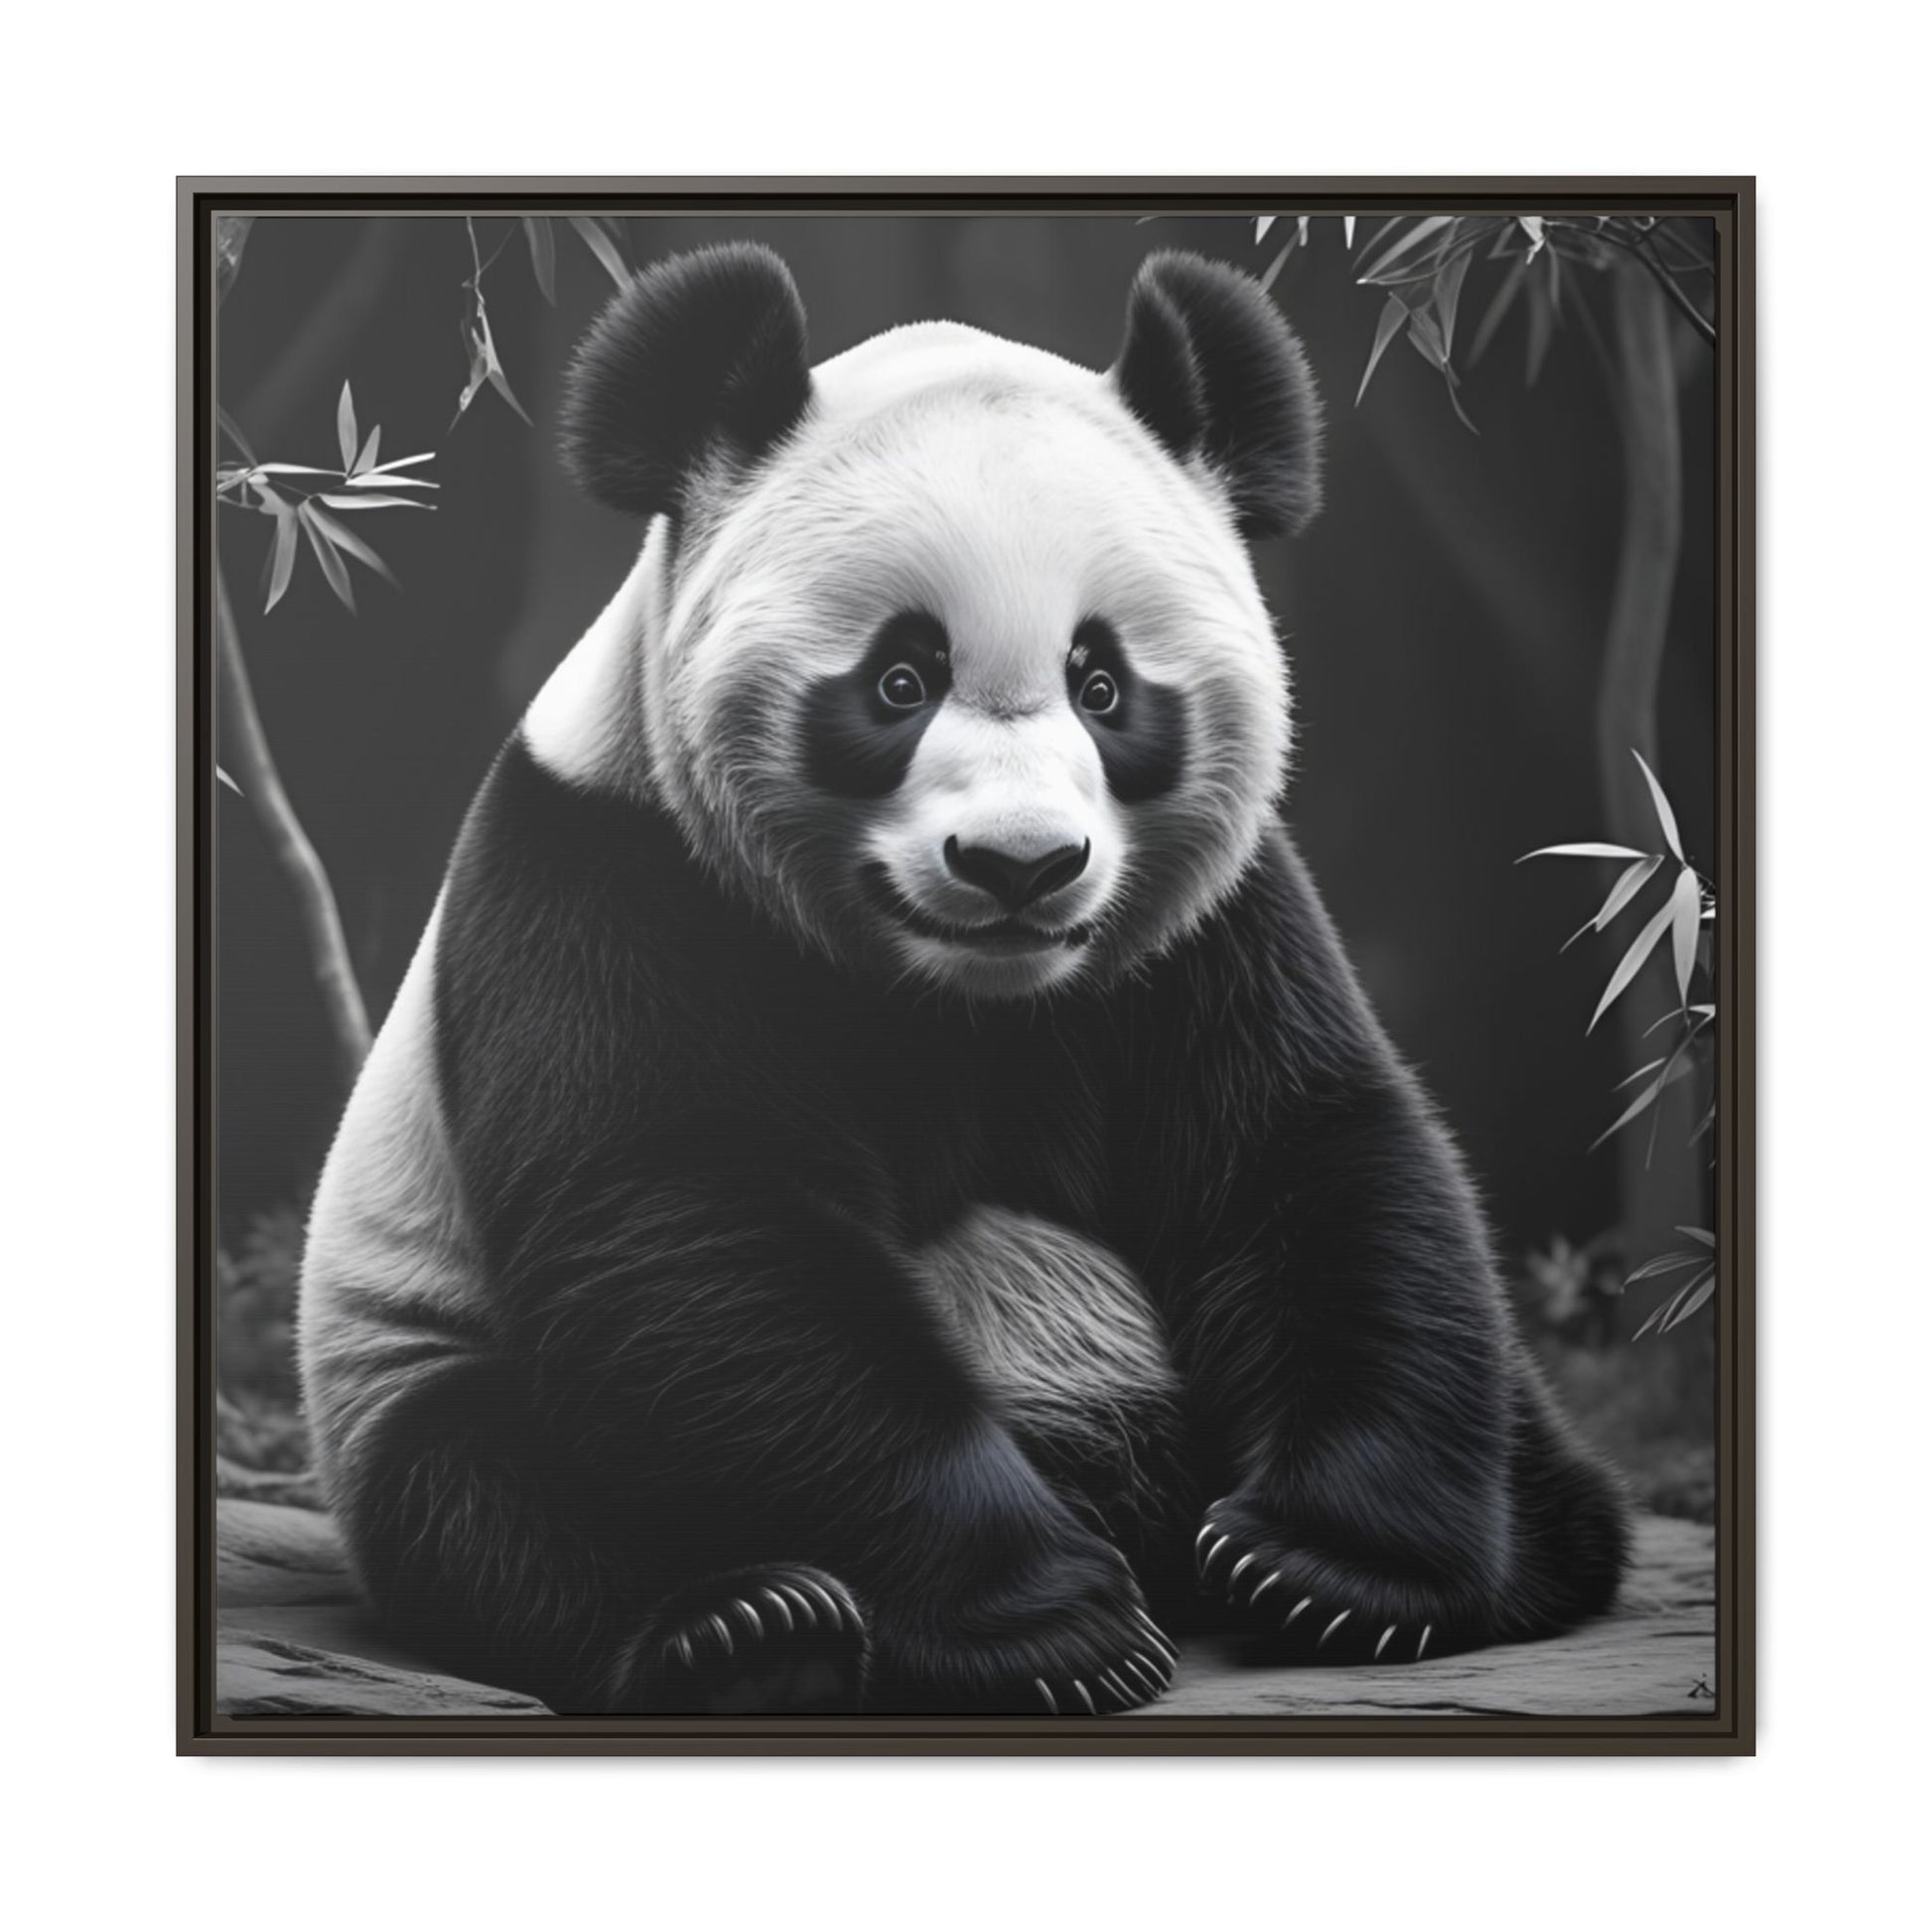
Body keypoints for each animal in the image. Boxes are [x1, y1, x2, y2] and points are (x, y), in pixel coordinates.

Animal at [299, 243, 1630, 1716]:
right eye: (898, 678)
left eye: (1103, 683)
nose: (1020, 864)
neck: (959, 998)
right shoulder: (613, 880)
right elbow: (692, 1226)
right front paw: (1051, 1625)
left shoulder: (1206, 928)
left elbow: (1305, 1154)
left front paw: (1327, 1569)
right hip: (405, 1358)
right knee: (493, 1496)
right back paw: (750, 1630)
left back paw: (1529, 1544)